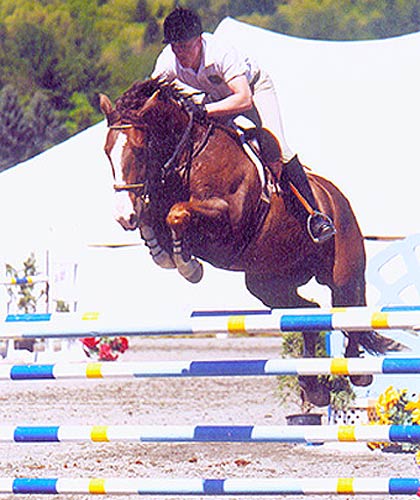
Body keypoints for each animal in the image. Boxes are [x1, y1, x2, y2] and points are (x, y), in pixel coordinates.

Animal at [99, 78, 400, 406]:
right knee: (308, 312)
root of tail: (337, 198)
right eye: (106, 152)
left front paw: (188, 265)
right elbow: (154, 220)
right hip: (269, 285)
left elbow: (177, 214)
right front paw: (168, 253)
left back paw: (357, 371)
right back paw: (313, 385)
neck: (190, 156)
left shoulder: (227, 221)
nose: (122, 215)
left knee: (349, 312)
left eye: (140, 150)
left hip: (342, 273)